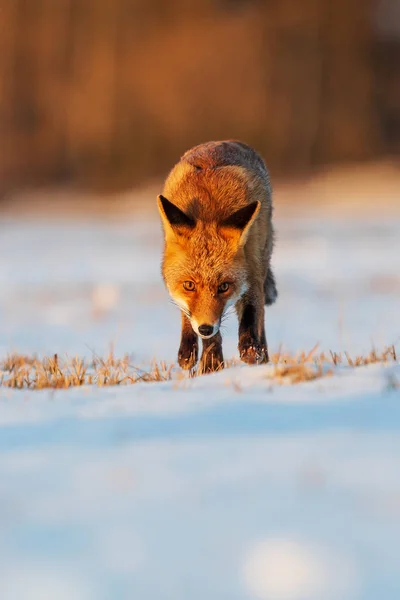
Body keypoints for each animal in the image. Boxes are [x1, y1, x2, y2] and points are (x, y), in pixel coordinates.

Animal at [158, 142, 276, 372]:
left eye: (224, 287)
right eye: (189, 285)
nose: (205, 328)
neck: (208, 209)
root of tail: (226, 141)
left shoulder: (252, 273)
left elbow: (251, 317)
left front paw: (251, 351)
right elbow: (206, 334)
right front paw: (211, 364)